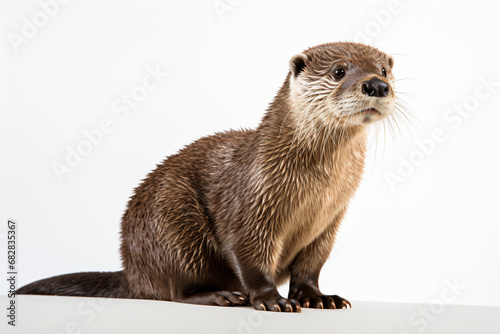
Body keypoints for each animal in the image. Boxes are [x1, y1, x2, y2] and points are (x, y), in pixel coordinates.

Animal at [17, 42, 396, 314]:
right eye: (339, 71)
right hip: (171, 226)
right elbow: (248, 253)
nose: (376, 85)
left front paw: (318, 297)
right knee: (174, 290)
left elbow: (311, 265)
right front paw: (271, 299)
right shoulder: (251, 202)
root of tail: (133, 268)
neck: (317, 188)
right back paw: (221, 296)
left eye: (384, 70)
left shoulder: (330, 221)